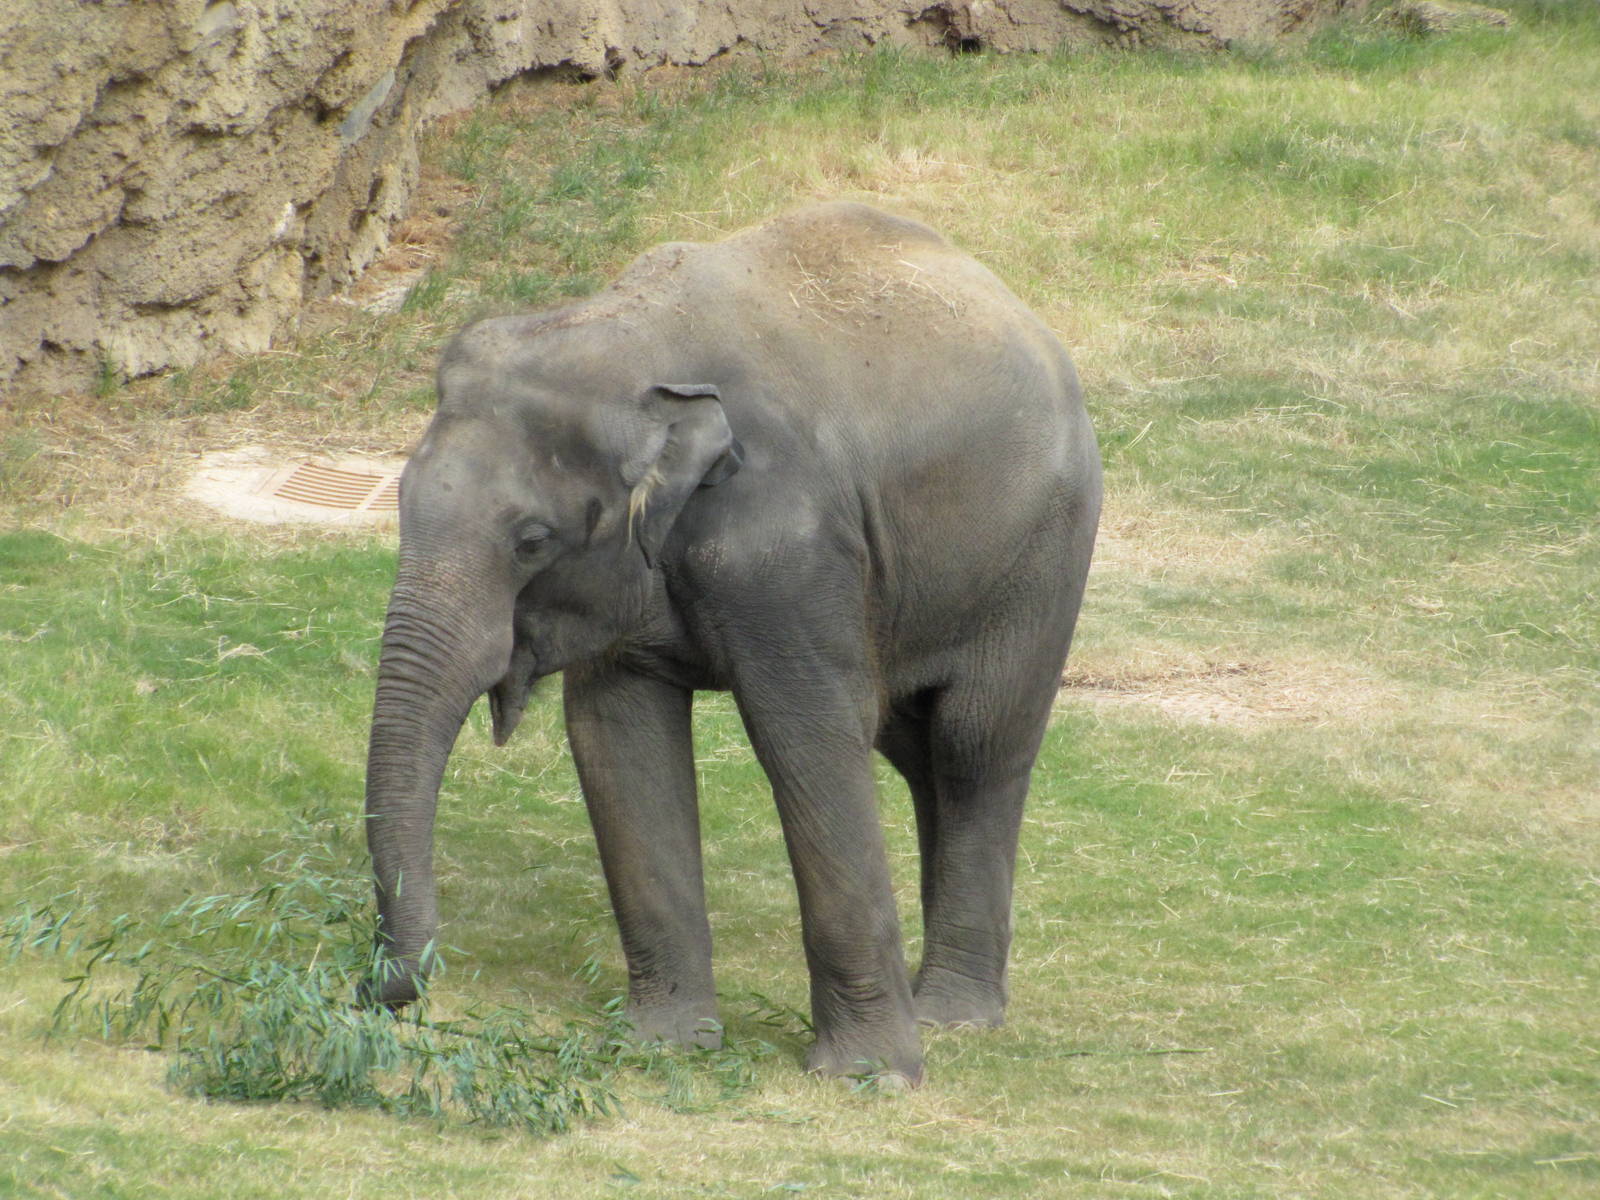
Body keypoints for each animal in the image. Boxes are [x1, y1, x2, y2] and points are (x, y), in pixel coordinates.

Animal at [362, 201, 1101, 1085]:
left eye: (532, 541)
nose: (382, 992)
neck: (623, 334)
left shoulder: (788, 545)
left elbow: (808, 737)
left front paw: (868, 1078)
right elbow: (618, 739)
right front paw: (664, 1044)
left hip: (1042, 558)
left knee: (973, 744)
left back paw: (952, 1016)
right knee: (916, 751)